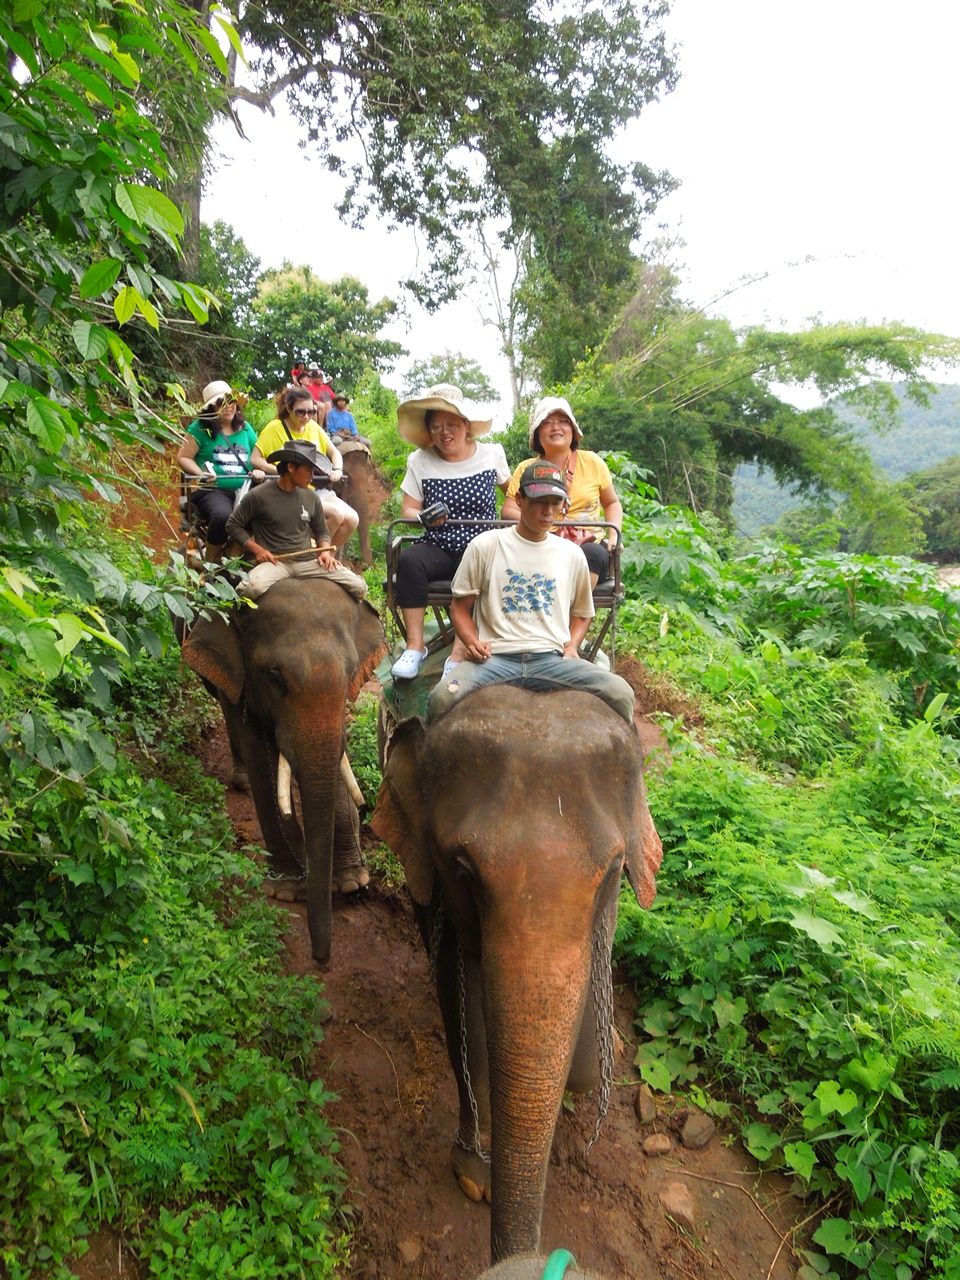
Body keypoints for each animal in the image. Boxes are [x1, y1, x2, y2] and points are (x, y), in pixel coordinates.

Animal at [182, 578, 387, 962]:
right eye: (274, 677)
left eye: (351, 670)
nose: (322, 959)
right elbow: (262, 761)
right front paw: (288, 891)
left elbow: (337, 758)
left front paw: (352, 882)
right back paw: (242, 781)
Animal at [370, 686, 661, 1265]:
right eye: (464, 872)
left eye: (613, 874)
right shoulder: (441, 887)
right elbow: (463, 1013)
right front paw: (474, 1178)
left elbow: (583, 1056)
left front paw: (599, 1058)